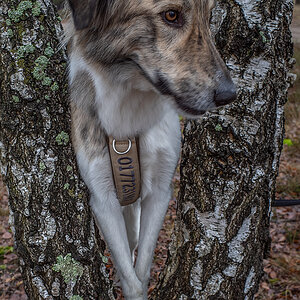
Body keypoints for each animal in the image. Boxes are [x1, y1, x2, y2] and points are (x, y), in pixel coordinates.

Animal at [64, 1, 236, 298]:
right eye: (171, 15)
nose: (229, 95)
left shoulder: (160, 191)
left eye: (209, 15)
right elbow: (130, 277)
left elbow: (142, 269)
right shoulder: (103, 199)